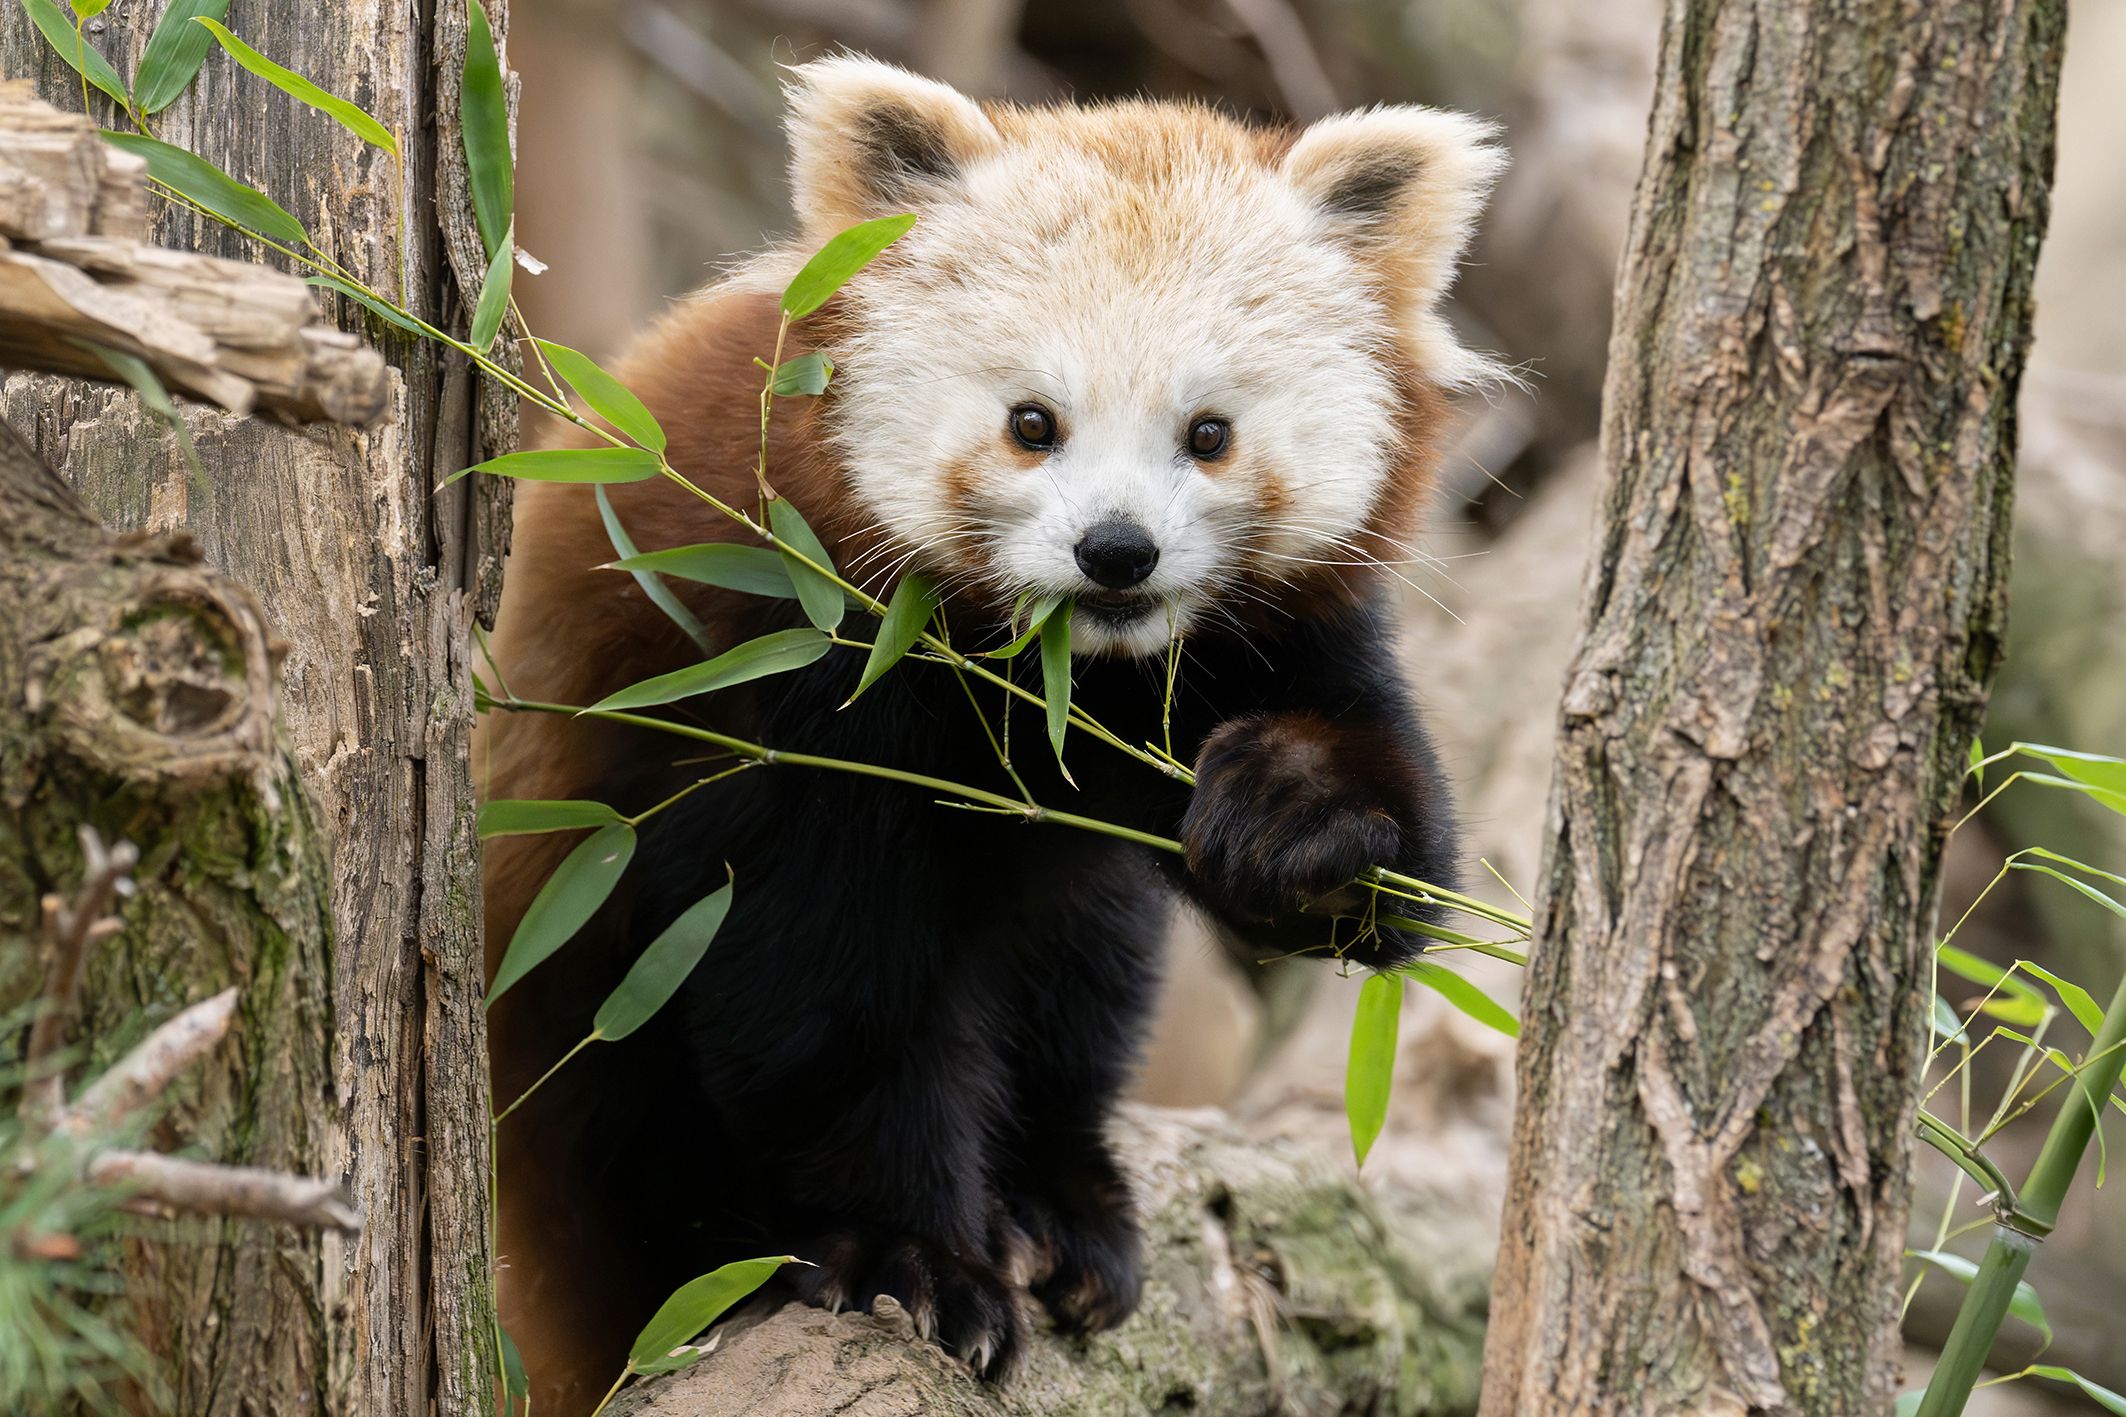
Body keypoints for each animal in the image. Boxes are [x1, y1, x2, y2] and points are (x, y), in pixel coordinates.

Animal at [480, 54, 1503, 1410]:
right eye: (1031, 422)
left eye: (1208, 433)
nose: (1116, 552)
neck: (1063, 680)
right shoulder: (776, 677)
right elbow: (822, 985)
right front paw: (911, 1256)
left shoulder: (1273, 639)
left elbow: (1396, 862)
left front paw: (1294, 817)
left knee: (1081, 963)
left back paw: (1062, 1199)